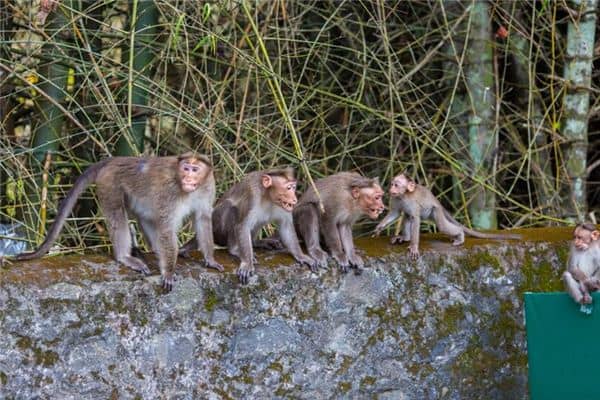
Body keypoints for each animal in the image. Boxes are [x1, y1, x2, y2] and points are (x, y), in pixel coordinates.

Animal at [16, 153, 223, 290]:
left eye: (195, 169)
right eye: (185, 168)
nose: (188, 177)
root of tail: (114, 160)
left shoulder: (208, 186)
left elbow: (203, 219)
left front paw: (210, 259)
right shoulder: (169, 192)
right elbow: (166, 228)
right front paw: (169, 272)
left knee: (146, 216)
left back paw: (155, 251)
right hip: (110, 184)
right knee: (118, 214)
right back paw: (125, 256)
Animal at [180, 166, 316, 284]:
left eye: (293, 187)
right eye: (288, 188)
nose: (294, 199)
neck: (268, 196)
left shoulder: (283, 206)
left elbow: (286, 226)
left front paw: (301, 256)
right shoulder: (252, 196)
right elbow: (242, 226)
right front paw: (247, 263)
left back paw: (257, 242)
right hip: (217, 228)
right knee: (231, 209)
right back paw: (235, 249)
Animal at [376, 173, 520, 258]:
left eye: (396, 185)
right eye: (392, 184)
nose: (390, 189)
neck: (404, 195)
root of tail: (438, 202)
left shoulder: (411, 202)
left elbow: (415, 219)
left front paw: (414, 247)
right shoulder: (395, 199)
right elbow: (395, 213)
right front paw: (380, 227)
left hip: (435, 211)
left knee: (441, 225)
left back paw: (460, 235)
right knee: (407, 216)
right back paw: (405, 237)